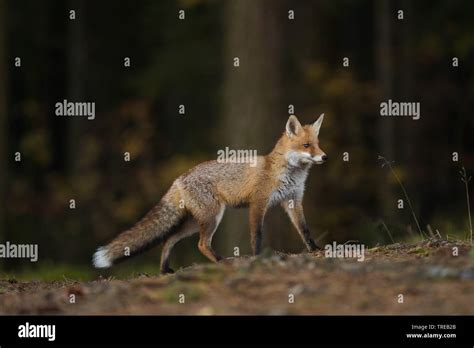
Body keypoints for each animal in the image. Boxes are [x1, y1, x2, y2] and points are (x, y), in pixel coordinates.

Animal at [94, 115, 328, 274]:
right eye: (306, 145)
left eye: (317, 145)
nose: (325, 157)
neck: (284, 172)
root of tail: (179, 178)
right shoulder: (258, 203)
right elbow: (257, 235)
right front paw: (257, 257)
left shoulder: (293, 200)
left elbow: (304, 229)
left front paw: (315, 249)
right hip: (212, 217)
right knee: (201, 244)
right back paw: (222, 261)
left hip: (194, 223)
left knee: (169, 239)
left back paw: (165, 270)